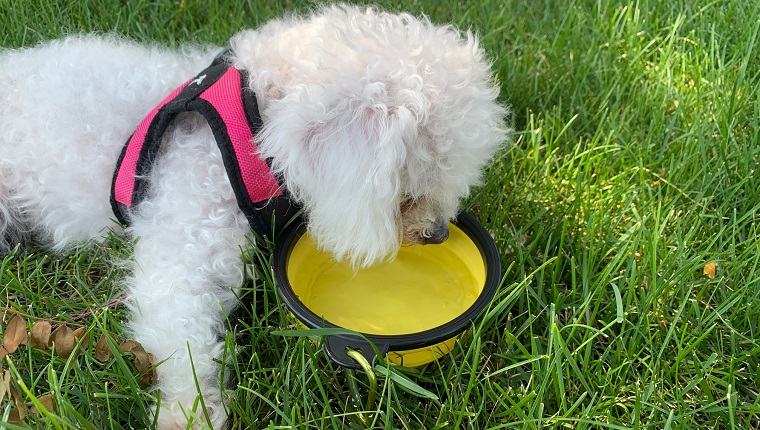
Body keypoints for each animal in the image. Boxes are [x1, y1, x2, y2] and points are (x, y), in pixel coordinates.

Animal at [1, 4, 510, 430]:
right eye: (410, 193)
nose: (437, 234)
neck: (253, 124)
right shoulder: (185, 238)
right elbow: (183, 335)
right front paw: (189, 411)